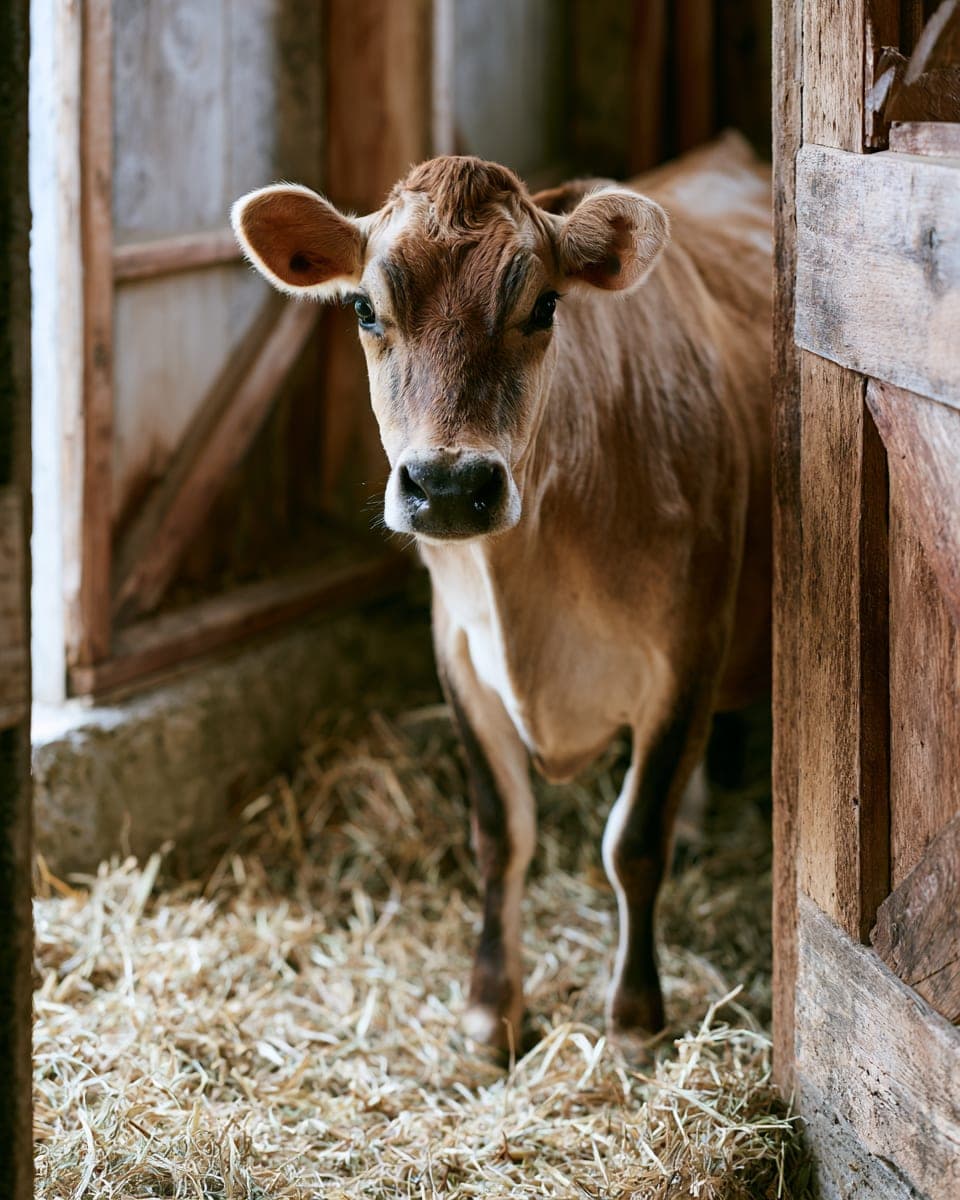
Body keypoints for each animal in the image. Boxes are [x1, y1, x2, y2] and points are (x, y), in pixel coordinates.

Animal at [231, 131, 771, 1058]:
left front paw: (635, 1019)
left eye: (545, 306)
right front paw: (492, 1009)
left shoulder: (689, 653)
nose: (450, 487)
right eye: (365, 309)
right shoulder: (459, 655)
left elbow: (635, 840)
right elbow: (500, 832)